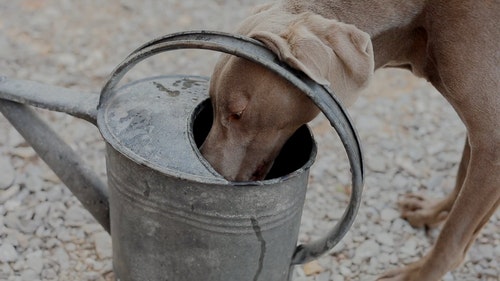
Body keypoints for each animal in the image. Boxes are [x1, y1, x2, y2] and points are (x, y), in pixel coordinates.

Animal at [200, 1, 500, 278]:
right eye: (212, 104)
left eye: (238, 113)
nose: (206, 164)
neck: (421, 16)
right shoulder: (483, 135)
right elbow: (462, 177)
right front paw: (432, 211)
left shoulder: (491, 141)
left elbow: (454, 233)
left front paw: (416, 275)